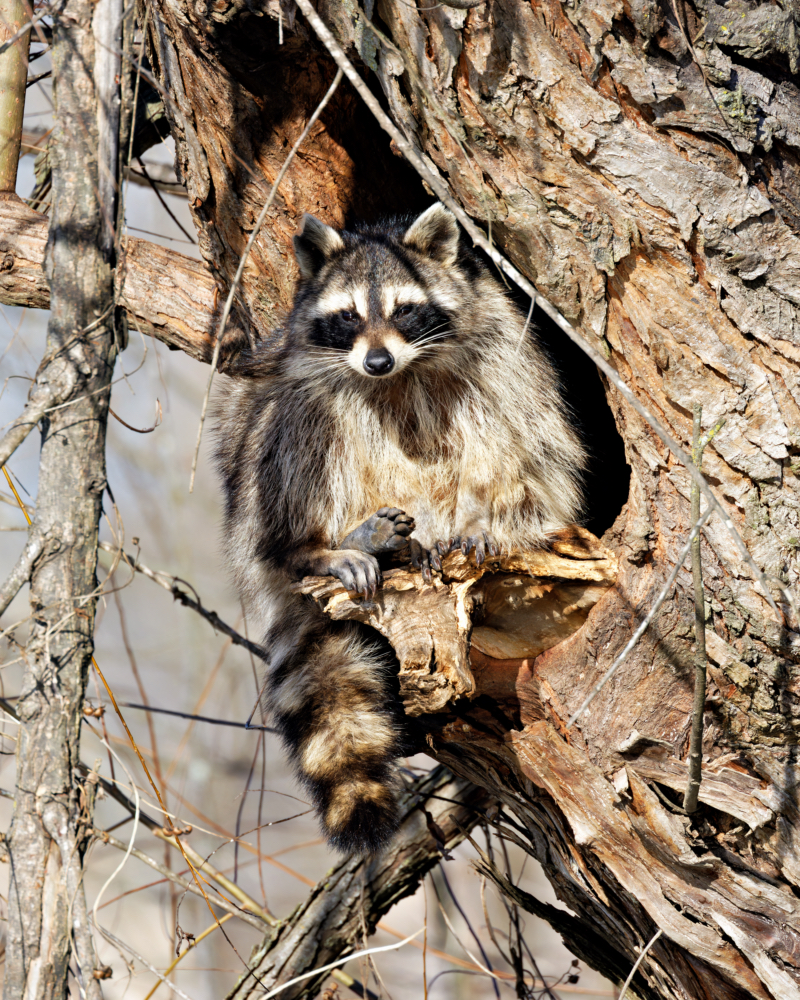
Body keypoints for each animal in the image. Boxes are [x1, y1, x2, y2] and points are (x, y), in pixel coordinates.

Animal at [216, 201, 584, 852]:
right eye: (348, 317)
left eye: (404, 310)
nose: (377, 361)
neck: (401, 376)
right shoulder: (295, 356)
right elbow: (285, 400)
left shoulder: (506, 353)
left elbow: (535, 451)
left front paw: (496, 520)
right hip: (251, 500)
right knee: (292, 424)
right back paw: (328, 547)